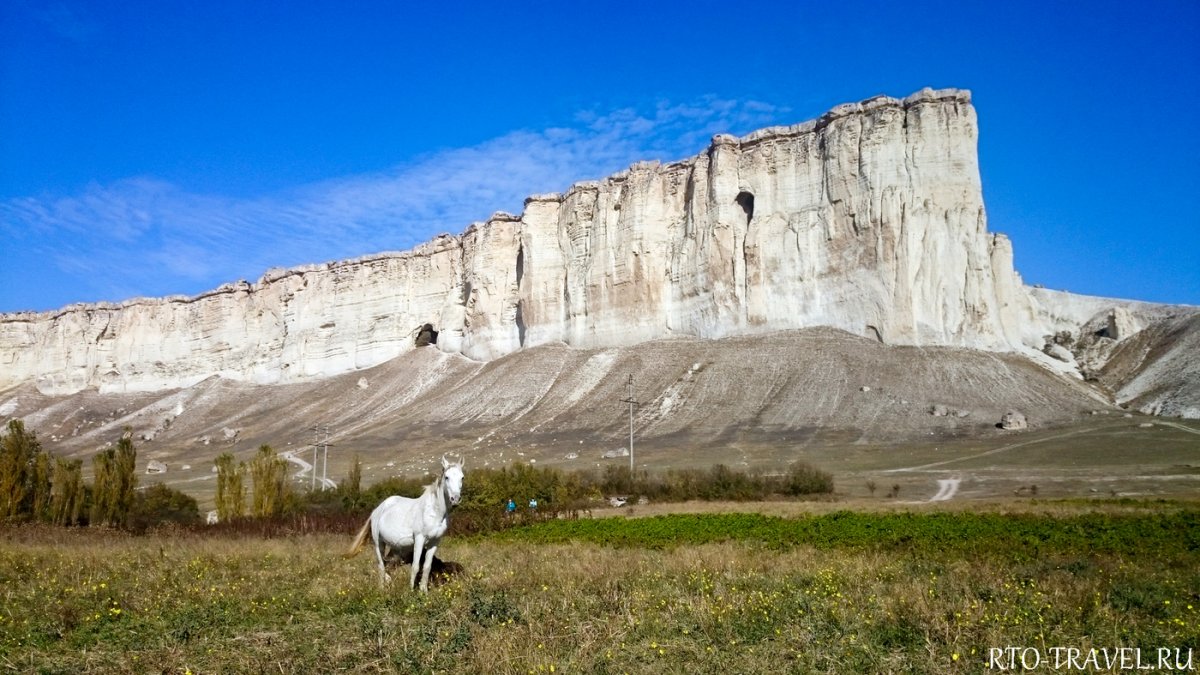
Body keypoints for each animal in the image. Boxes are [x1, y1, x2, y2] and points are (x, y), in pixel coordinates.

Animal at [348, 451, 463, 588]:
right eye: (446, 477)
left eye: (462, 478)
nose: (455, 499)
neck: (435, 513)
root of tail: (377, 510)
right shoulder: (419, 539)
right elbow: (415, 566)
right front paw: (411, 590)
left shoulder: (435, 542)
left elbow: (427, 567)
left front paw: (423, 590)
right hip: (378, 543)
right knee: (381, 566)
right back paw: (381, 588)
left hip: (396, 547)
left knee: (388, 566)